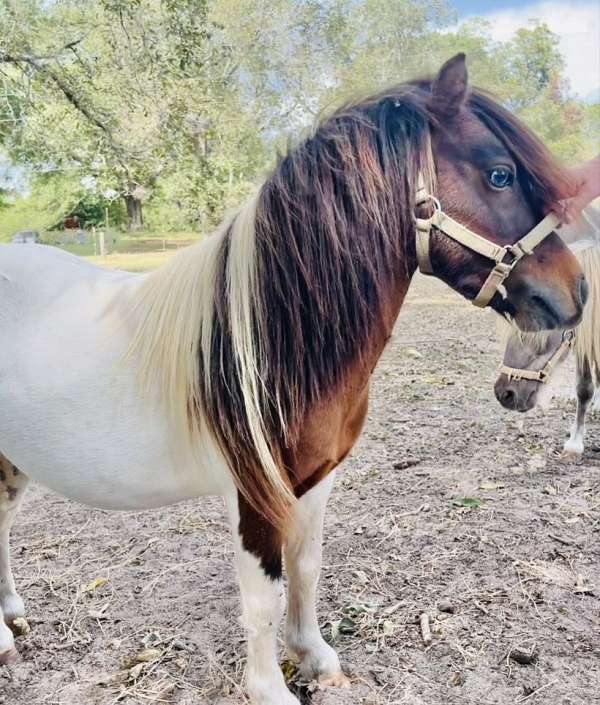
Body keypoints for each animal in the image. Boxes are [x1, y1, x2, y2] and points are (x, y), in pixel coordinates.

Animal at [0, 54, 586, 704]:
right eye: (500, 174)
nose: (577, 291)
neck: (272, 339)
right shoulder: (255, 491)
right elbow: (262, 593)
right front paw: (269, 688)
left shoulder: (314, 480)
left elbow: (305, 567)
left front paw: (315, 658)